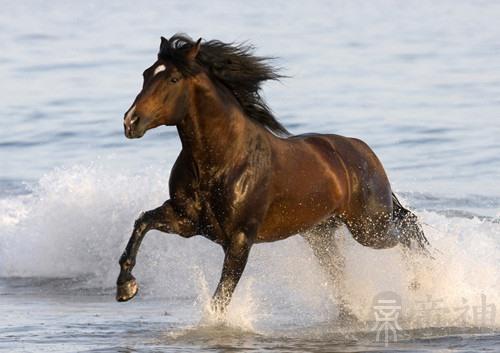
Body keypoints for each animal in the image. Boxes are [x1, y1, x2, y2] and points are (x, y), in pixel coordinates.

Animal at [117, 33, 430, 314]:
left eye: (172, 79)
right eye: (146, 74)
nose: (130, 122)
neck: (223, 160)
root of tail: (363, 150)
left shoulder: (240, 238)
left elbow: (222, 296)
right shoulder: (186, 221)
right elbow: (142, 222)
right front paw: (125, 287)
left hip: (369, 227)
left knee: (409, 228)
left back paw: (422, 283)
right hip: (321, 233)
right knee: (342, 267)